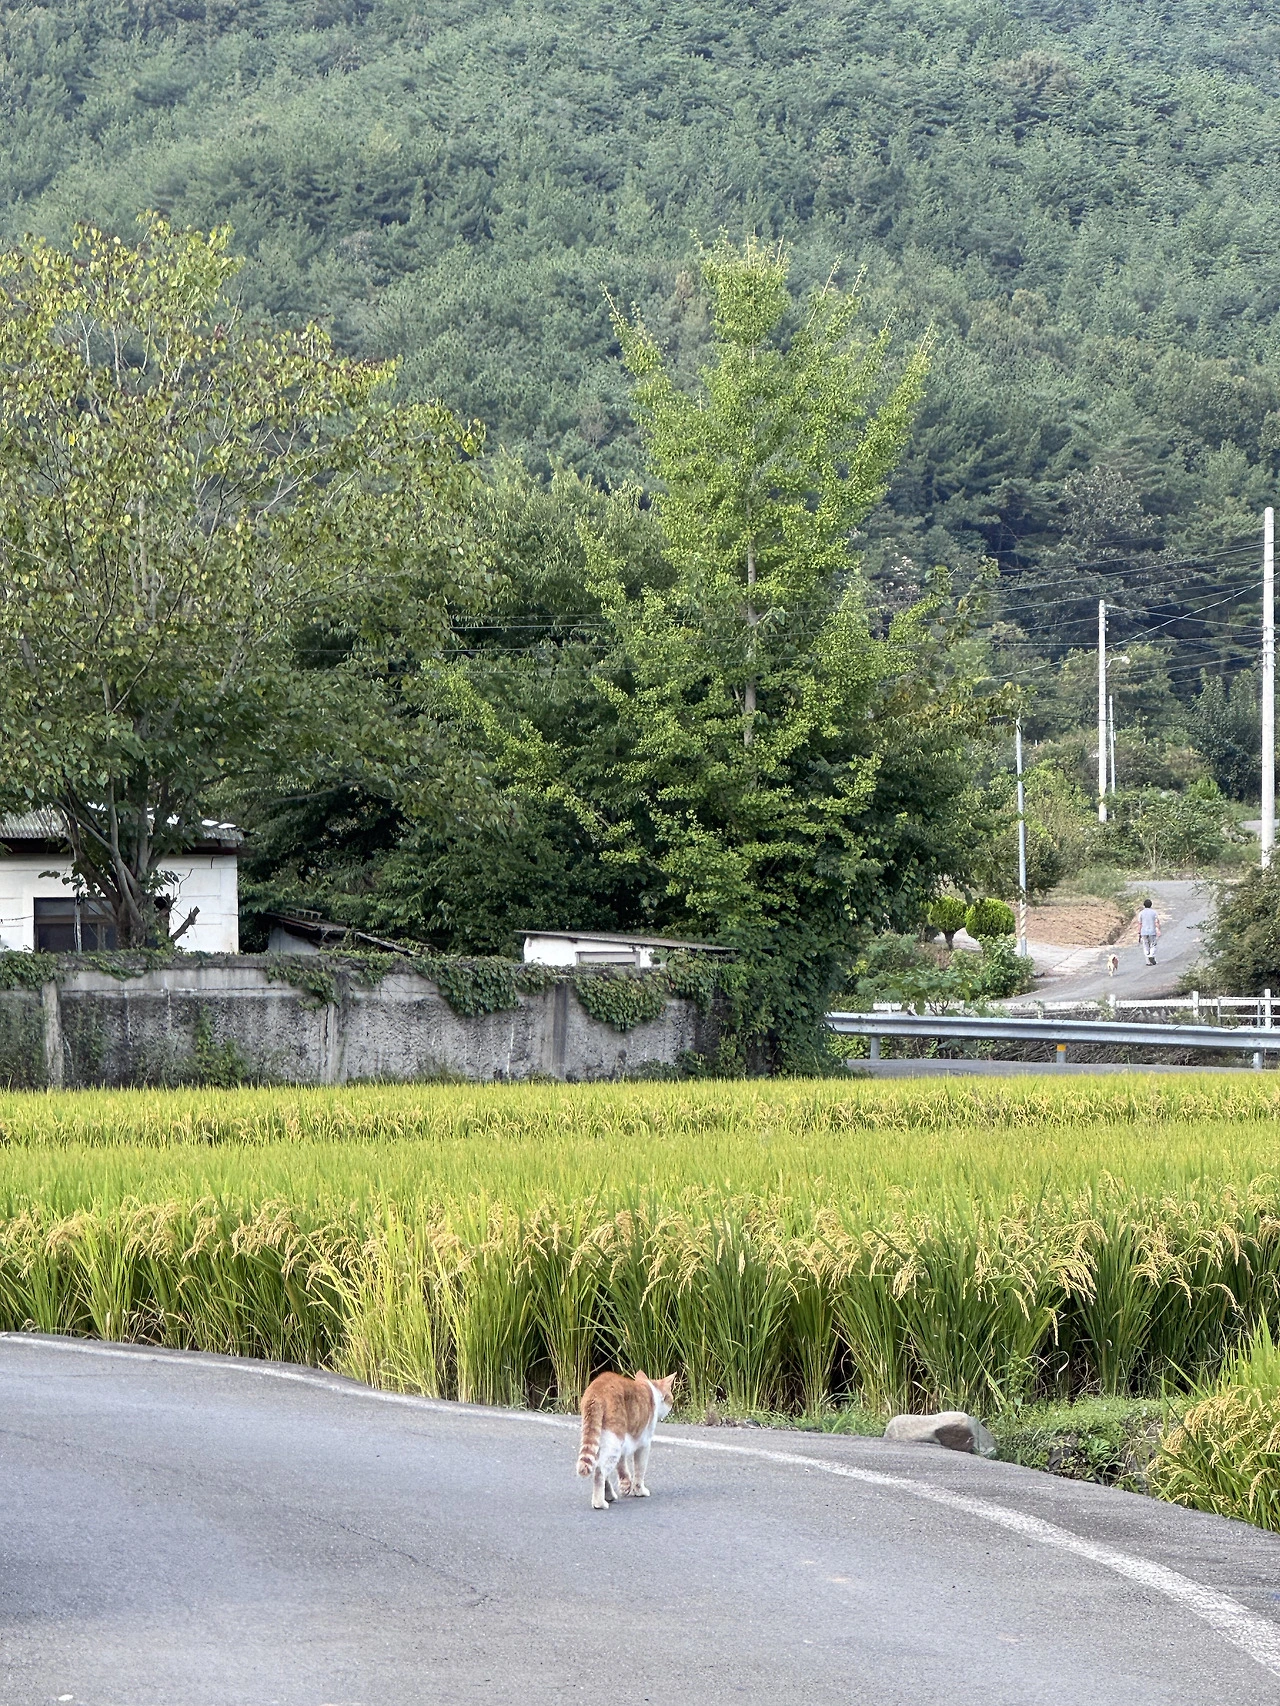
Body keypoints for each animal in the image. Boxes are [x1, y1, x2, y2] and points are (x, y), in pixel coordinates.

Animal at [576, 1370, 675, 1510]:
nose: (671, 1405)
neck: (651, 1388)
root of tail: (596, 1391)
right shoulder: (644, 1444)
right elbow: (639, 1470)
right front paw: (639, 1491)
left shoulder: (623, 1446)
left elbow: (622, 1466)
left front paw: (625, 1485)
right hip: (614, 1438)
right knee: (599, 1471)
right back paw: (599, 1503)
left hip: (600, 1438)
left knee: (600, 1468)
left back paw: (609, 1495)